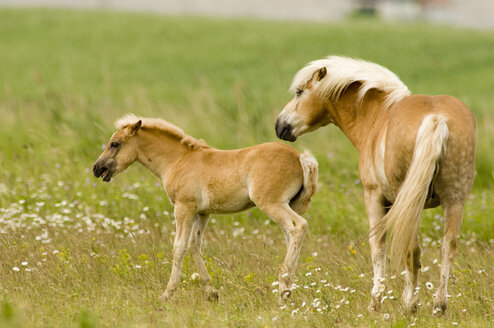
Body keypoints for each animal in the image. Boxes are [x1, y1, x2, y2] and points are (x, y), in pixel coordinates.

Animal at [92, 114, 318, 302]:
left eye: (115, 143)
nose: (97, 168)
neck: (179, 160)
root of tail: (300, 157)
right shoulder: (203, 213)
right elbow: (194, 245)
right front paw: (211, 292)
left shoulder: (183, 208)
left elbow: (179, 247)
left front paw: (167, 294)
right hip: (288, 206)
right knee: (291, 237)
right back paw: (288, 289)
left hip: (271, 204)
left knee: (299, 227)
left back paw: (283, 289)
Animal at [276, 56, 476, 316]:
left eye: (300, 92)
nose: (279, 125)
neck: (377, 117)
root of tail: (436, 118)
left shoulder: (374, 197)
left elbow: (377, 246)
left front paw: (375, 302)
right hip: (454, 201)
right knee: (447, 247)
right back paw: (439, 306)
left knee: (412, 249)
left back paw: (409, 304)